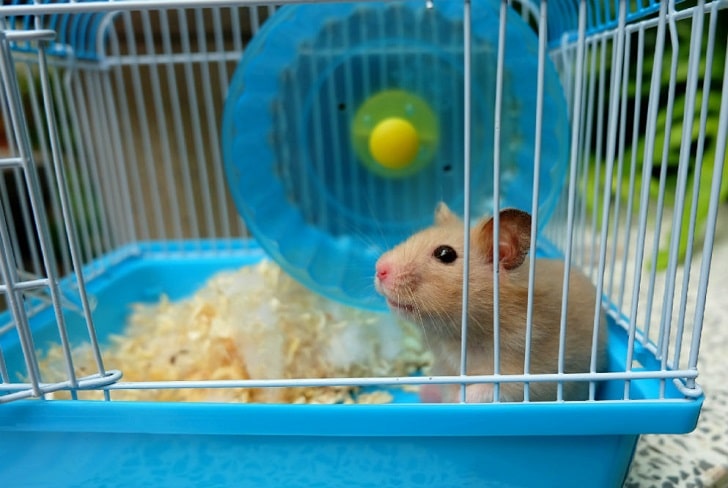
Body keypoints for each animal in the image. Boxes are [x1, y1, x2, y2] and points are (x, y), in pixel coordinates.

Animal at [374, 203, 608, 403]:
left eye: (445, 254)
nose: (379, 269)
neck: (459, 336)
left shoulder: (525, 376)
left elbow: (486, 389)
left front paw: (459, 399)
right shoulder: (445, 367)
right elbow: (449, 385)